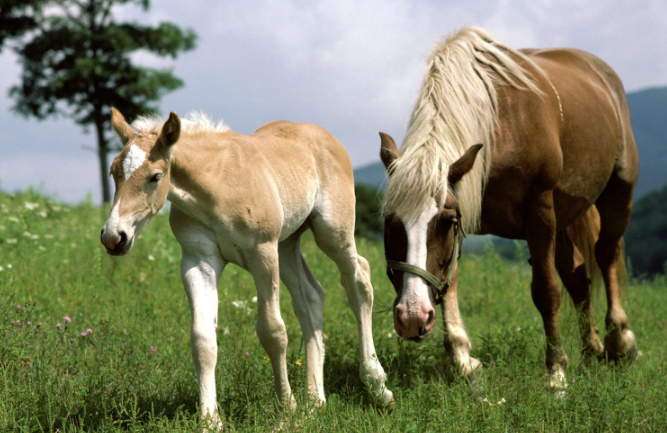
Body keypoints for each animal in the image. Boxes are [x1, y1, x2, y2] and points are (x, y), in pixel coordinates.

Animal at [380, 27, 636, 392]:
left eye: (445, 221)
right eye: (389, 223)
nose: (412, 316)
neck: (497, 126)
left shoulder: (538, 211)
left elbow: (546, 291)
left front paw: (556, 373)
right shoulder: (466, 209)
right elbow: (449, 280)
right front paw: (462, 359)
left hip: (618, 192)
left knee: (606, 254)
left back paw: (620, 340)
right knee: (578, 278)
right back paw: (591, 351)